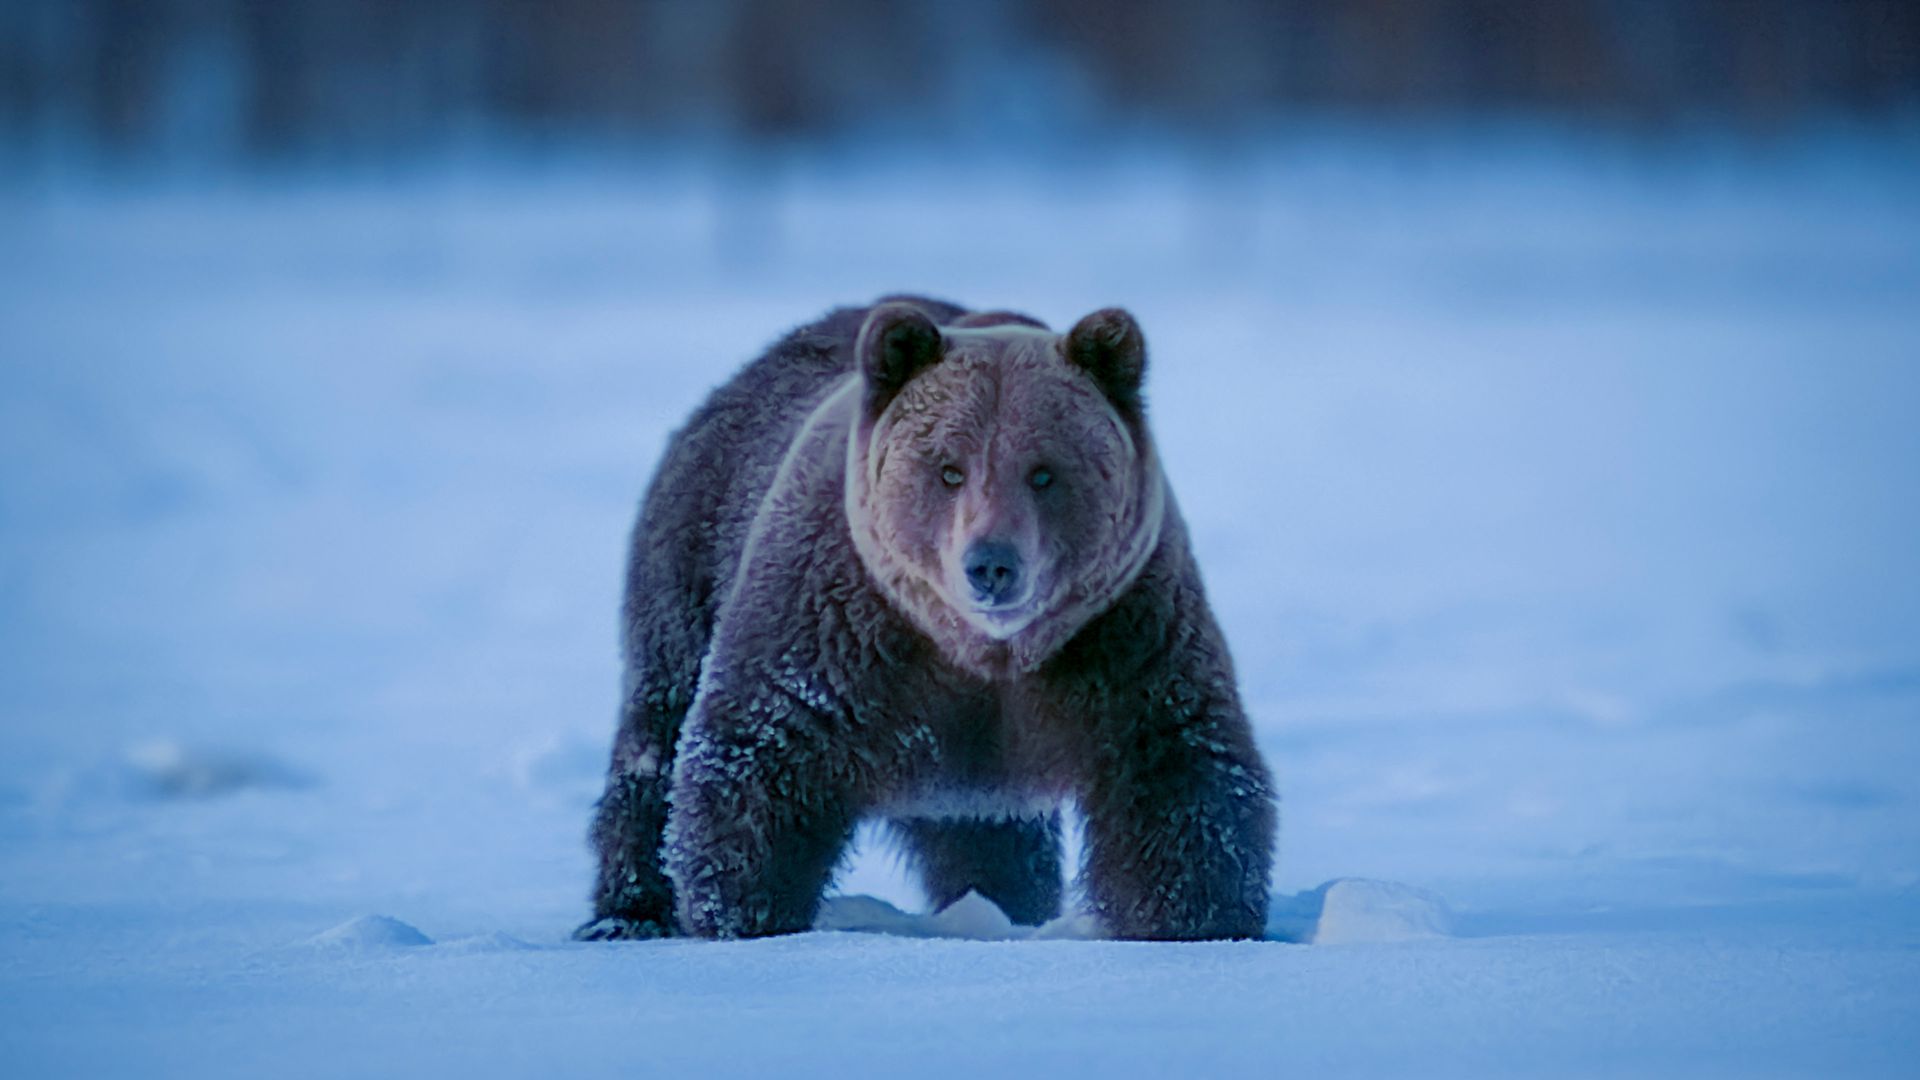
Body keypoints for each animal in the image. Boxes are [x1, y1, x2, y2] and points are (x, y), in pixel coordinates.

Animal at [579, 297, 1274, 937]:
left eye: (1044, 472)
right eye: (949, 468)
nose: (991, 564)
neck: (979, 654)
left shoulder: (1122, 637)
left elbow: (1178, 774)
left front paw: (1197, 921)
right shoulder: (836, 633)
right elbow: (757, 760)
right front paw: (745, 917)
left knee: (991, 840)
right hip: (690, 558)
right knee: (655, 735)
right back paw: (627, 912)